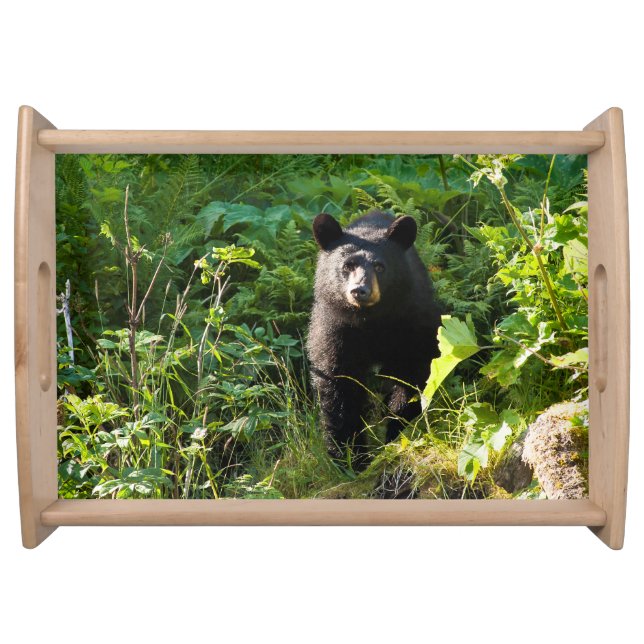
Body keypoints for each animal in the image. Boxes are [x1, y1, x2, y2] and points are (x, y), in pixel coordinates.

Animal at [307, 210, 441, 465]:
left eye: (379, 266)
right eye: (347, 266)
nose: (360, 290)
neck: (371, 320)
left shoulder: (412, 323)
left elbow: (413, 374)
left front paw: (397, 431)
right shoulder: (335, 330)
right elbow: (339, 384)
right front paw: (350, 456)